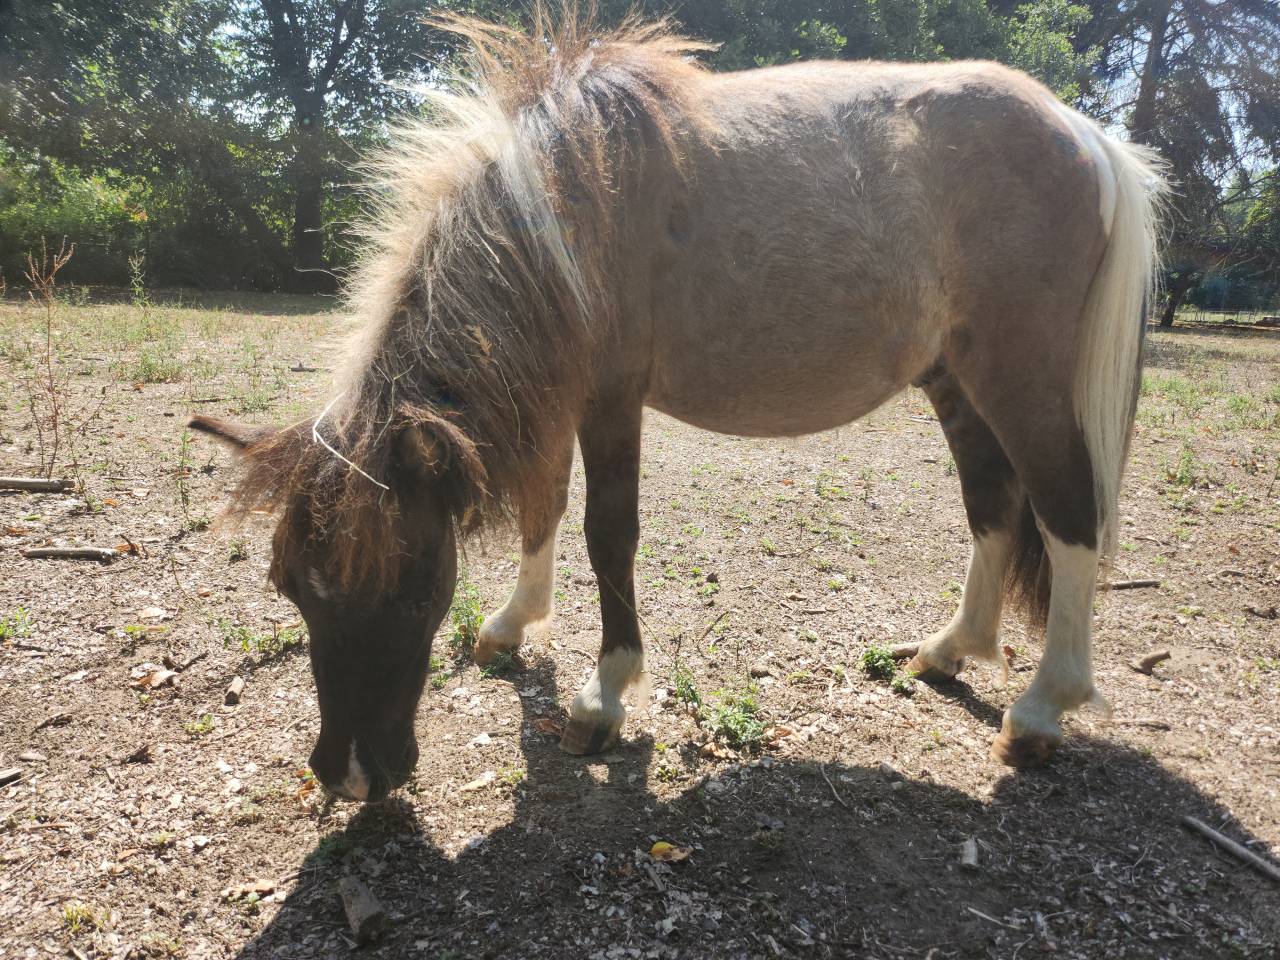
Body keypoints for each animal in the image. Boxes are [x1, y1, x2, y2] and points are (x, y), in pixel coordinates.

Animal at [191, 9, 1167, 802]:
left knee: (1068, 516)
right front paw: (512, 625)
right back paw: (948, 649)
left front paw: (602, 698)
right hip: (954, 380)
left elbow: (606, 534)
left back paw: (1041, 712)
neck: (562, 208)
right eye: (291, 587)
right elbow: (543, 506)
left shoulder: (609, 399)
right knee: (992, 506)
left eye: (410, 585)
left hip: (1018, 377)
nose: (350, 777)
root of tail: (1086, 133)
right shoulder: (554, 392)